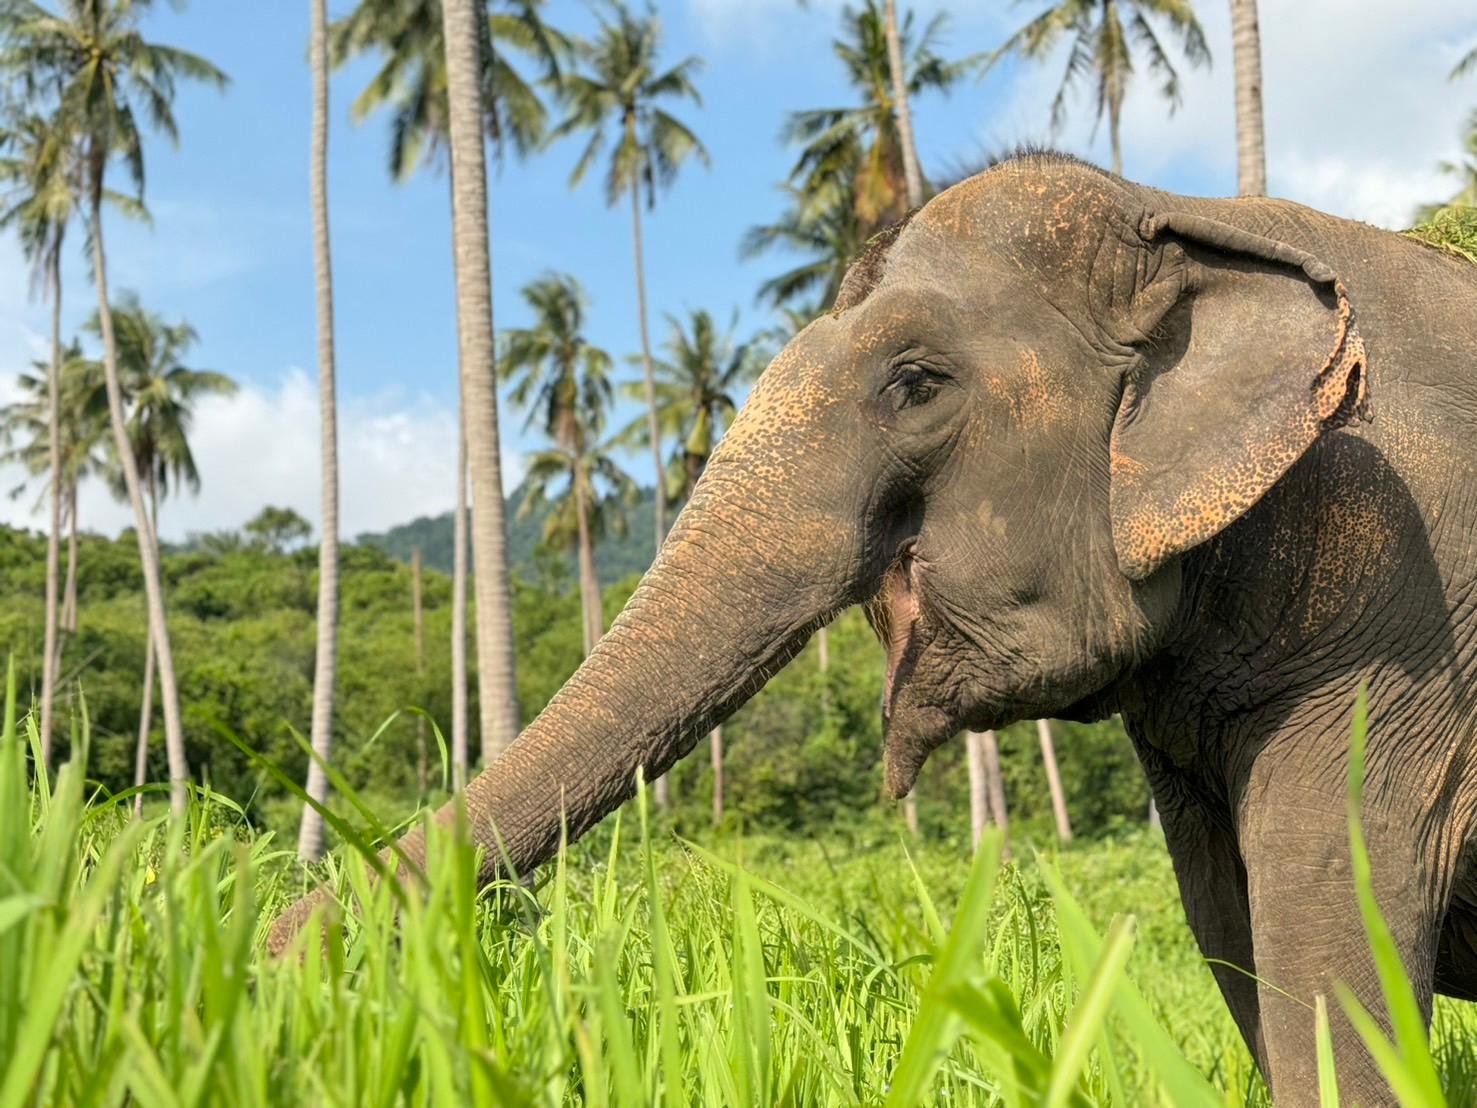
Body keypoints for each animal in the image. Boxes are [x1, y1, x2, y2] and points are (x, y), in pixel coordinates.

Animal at [273, 152, 1477, 1104]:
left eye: (915, 383)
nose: (263, 951)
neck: (1181, 211)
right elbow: (1230, 923)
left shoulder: (1403, 615)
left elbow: (1331, 902)